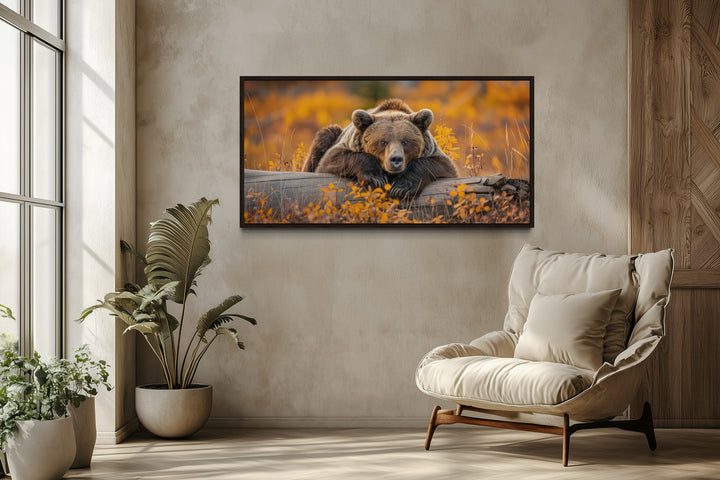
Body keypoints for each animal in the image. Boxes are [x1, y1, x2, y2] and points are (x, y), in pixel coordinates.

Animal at [302, 99, 458, 199]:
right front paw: (376, 178)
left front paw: (401, 187)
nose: (396, 159)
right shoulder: (345, 145)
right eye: (383, 142)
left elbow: (441, 165)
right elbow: (331, 160)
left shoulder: (433, 152)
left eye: (405, 141)